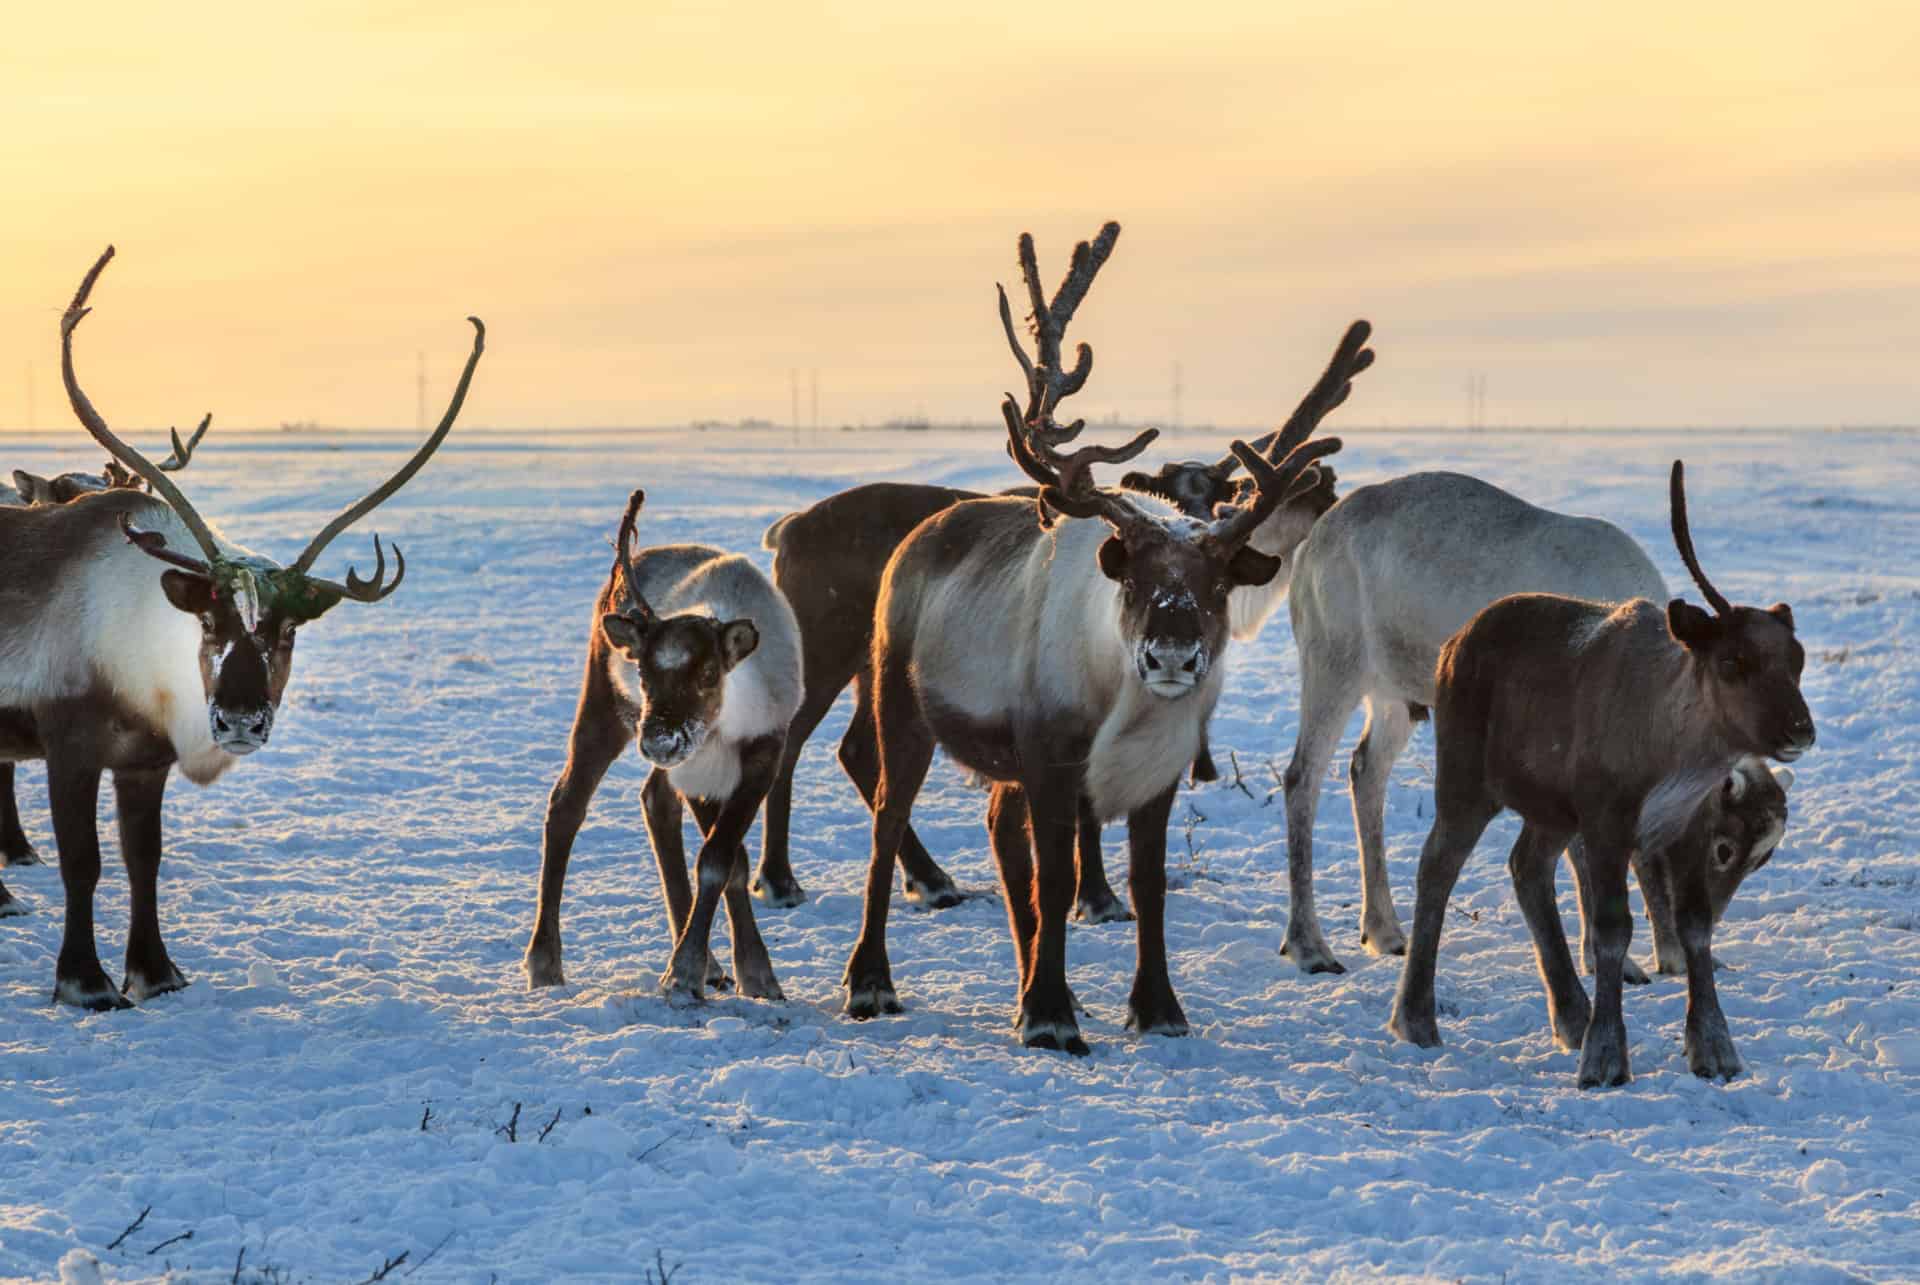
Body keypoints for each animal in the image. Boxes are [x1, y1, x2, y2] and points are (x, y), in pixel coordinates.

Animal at [522, 491, 798, 998]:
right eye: (645, 675)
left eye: (708, 673)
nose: (659, 741)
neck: (731, 718)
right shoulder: (697, 767)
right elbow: (722, 861)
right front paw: (685, 973)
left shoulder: (762, 753)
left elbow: (725, 859)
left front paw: (750, 974)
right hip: (604, 707)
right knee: (567, 803)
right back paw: (544, 961)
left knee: (655, 799)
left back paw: (712, 964)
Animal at [1382, 460, 1812, 1083]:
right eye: (1734, 660)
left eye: (1796, 659)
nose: (1801, 730)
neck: (1673, 753)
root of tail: (1454, 643)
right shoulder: (1607, 820)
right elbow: (1613, 930)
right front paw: (1606, 1057)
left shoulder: (1686, 824)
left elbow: (1694, 925)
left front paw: (1713, 1049)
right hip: (1465, 782)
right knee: (1436, 867)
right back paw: (1416, 1018)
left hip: (1550, 810)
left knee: (1527, 867)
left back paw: (1570, 1015)